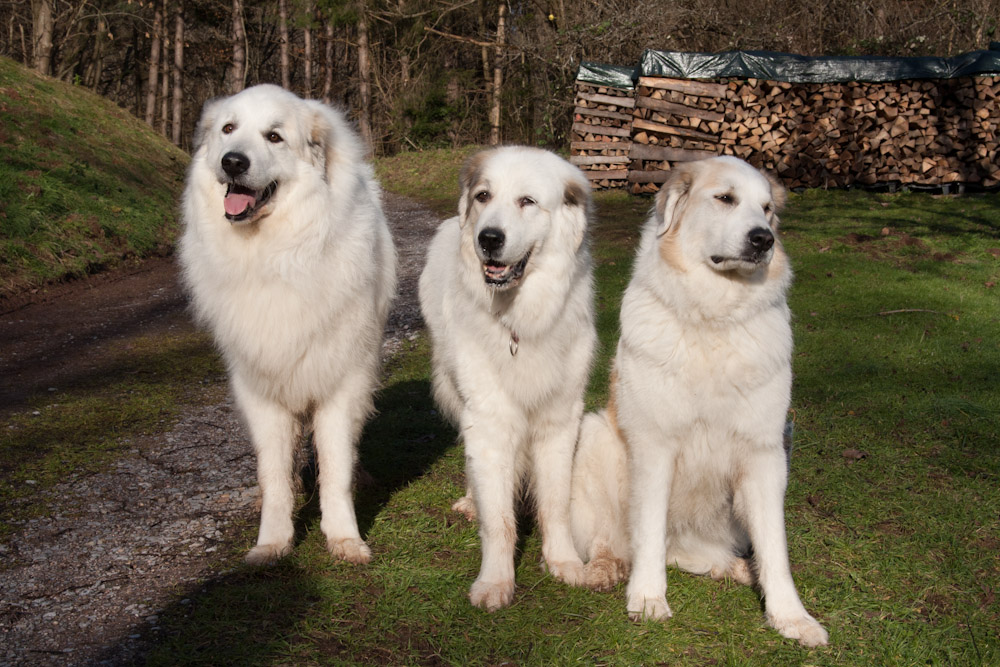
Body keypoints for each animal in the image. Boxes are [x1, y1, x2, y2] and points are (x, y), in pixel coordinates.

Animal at [178, 83, 396, 568]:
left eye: (274, 137)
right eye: (228, 129)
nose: (233, 162)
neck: (276, 255)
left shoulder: (341, 382)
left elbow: (335, 468)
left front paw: (344, 538)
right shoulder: (260, 389)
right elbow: (274, 473)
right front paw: (272, 542)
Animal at [420, 146, 596, 612]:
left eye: (527, 202)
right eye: (484, 196)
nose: (488, 238)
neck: (520, 318)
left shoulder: (559, 421)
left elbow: (556, 502)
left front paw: (563, 562)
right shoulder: (490, 420)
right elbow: (498, 517)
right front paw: (495, 581)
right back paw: (471, 500)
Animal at [572, 155, 828, 648]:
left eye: (767, 209)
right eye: (725, 198)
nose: (763, 239)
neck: (715, 317)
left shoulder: (765, 452)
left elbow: (776, 545)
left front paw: (790, 616)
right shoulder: (654, 446)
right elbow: (648, 532)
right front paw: (648, 598)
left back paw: (737, 568)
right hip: (596, 433)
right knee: (614, 541)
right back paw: (604, 569)